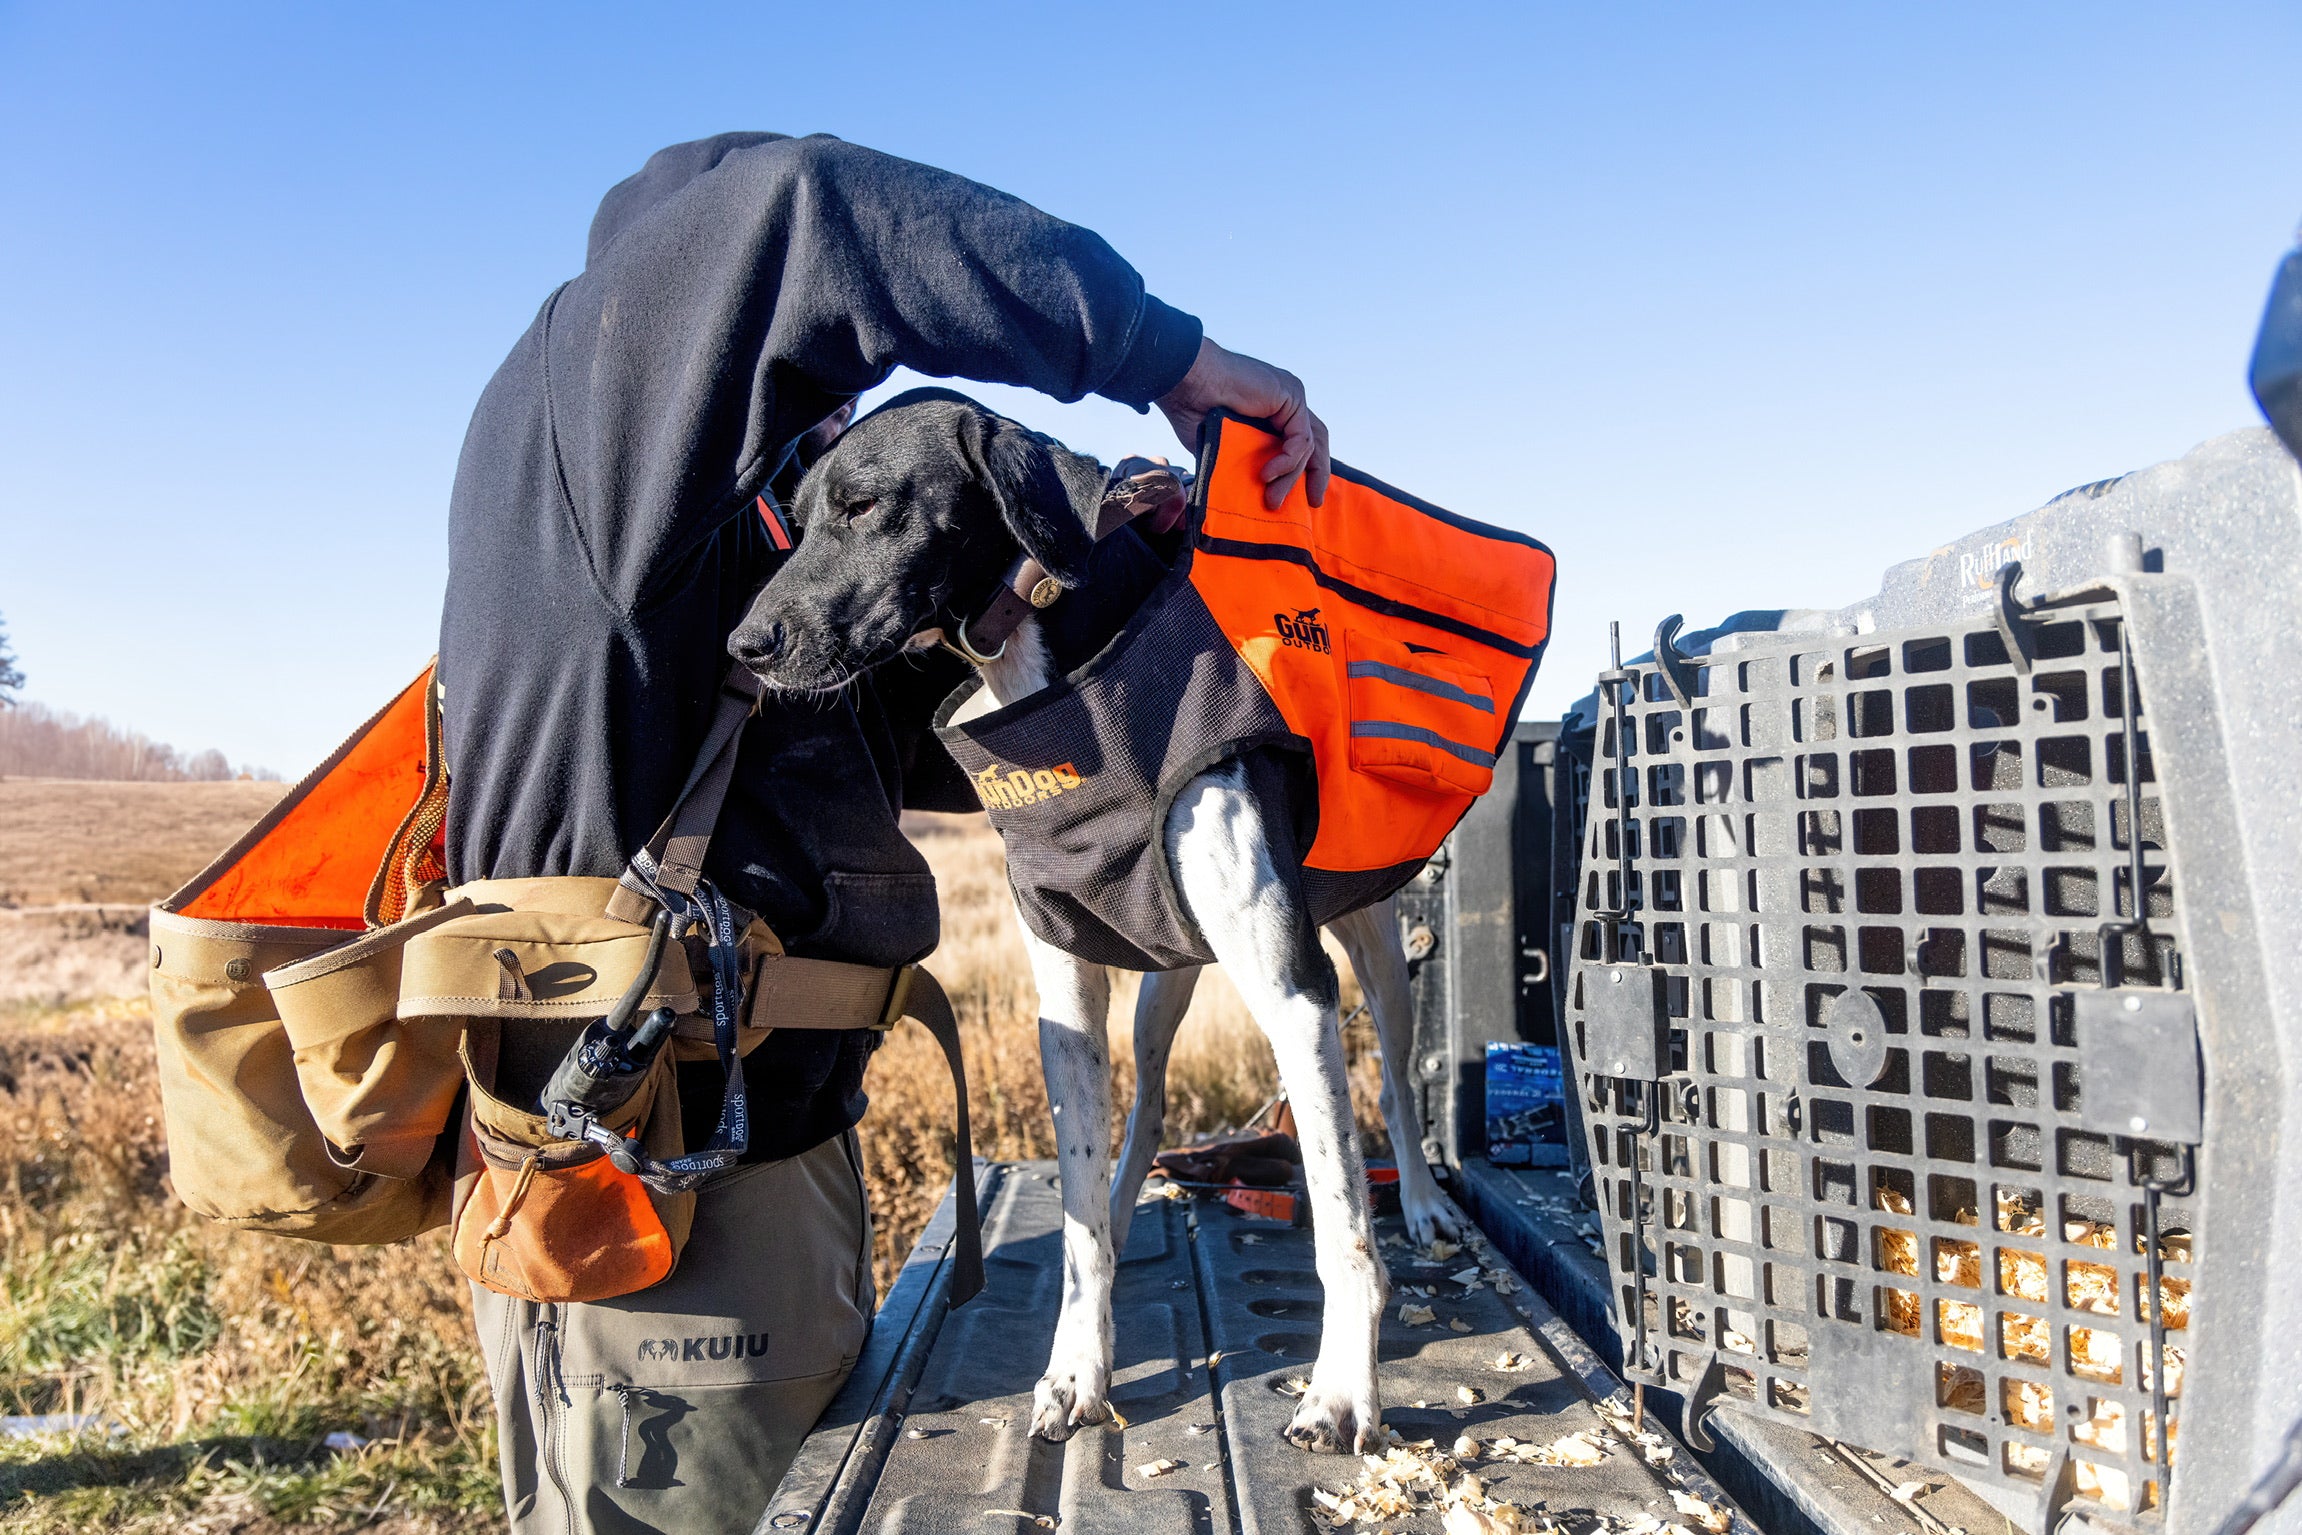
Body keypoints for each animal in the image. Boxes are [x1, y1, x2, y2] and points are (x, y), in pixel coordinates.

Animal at [732, 391, 1454, 1463]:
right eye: (800, 512)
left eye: (863, 506)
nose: (742, 645)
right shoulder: (1066, 999)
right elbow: (1072, 1223)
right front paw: (1080, 1368)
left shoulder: (1294, 986)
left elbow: (1341, 1221)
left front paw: (1341, 1387)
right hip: (1164, 982)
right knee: (1146, 1105)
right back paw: (1122, 1204)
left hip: (1369, 950)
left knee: (1399, 1092)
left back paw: (1430, 1203)